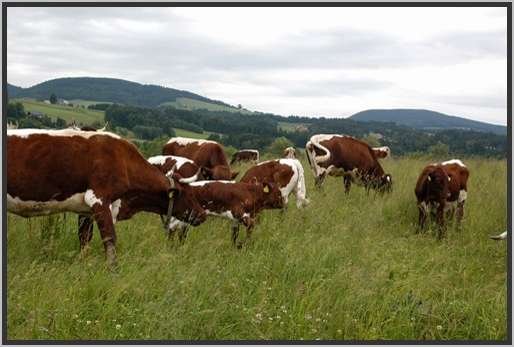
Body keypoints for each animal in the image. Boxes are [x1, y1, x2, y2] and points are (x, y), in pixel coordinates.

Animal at [7, 129, 205, 266]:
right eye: (188, 194)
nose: (202, 214)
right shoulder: (99, 199)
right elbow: (110, 240)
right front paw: (113, 271)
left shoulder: (86, 210)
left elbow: (84, 238)